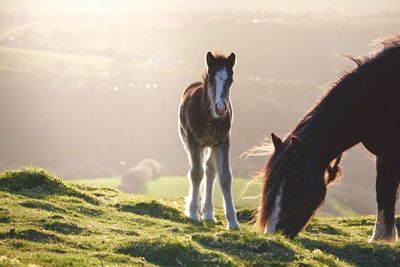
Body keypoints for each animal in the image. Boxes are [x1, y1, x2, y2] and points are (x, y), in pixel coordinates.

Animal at [179, 52, 241, 230]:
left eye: (230, 81)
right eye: (212, 80)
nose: (221, 108)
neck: (209, 118)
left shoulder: (222, 142)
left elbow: (225, 177)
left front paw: (233, 222)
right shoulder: (194, 141)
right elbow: (195, 173)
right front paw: (193, 213)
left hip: (211, 145)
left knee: (210, 170)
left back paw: (208, 213)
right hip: (189, 141)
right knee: (199, 168)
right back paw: (198, 207)